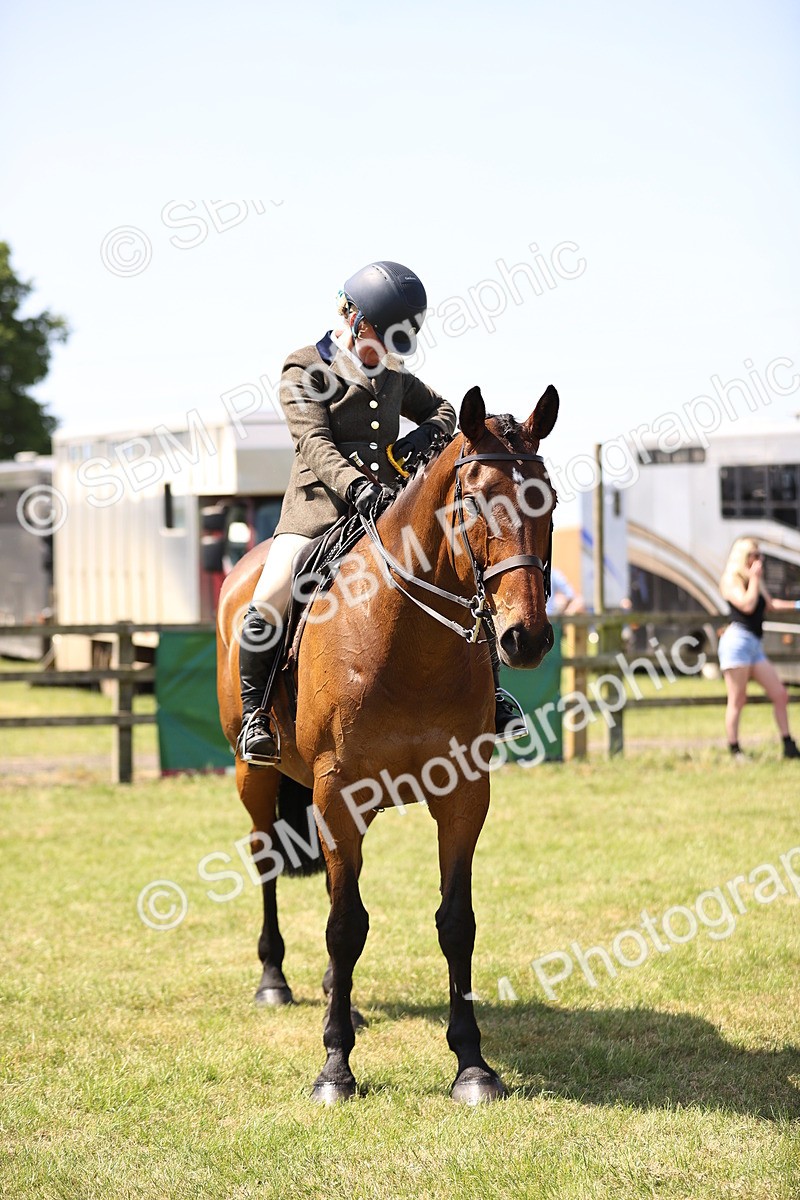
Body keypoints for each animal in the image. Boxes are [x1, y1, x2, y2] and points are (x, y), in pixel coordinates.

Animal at [216, 383, 559, 1104]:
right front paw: (335, 1068)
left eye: (549, 499)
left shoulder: (463, 796)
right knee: (268, 862)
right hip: (254, 774)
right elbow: (347, 927)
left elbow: (456, 922)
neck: (406, 640)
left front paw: (472, 1065)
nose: (526, 638)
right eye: (476, 500)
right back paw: (275, 981)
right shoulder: (338, 795)